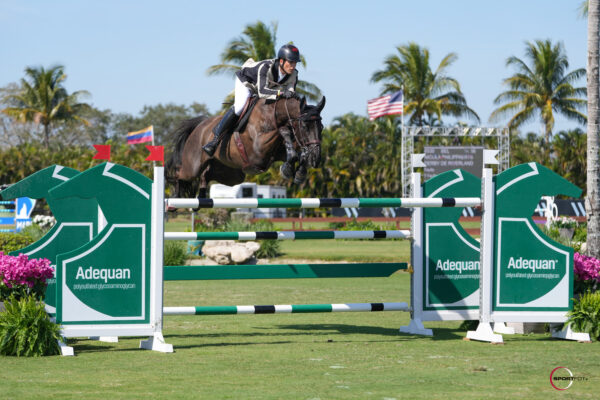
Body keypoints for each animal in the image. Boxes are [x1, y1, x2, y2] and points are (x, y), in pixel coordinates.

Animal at [166, 95, 326, 198]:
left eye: (322, 127)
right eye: (304, 126)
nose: (316, 158)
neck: (273, 115)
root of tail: (199, 126)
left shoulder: (275, 154)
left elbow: (295, 154)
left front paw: (298, 171)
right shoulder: (258, 150)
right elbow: (282, 131)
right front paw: (289, 168)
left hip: (233, 175)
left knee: (206, 174)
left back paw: (201, 196)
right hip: (192, 168)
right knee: (179, 174)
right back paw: (174, 199)